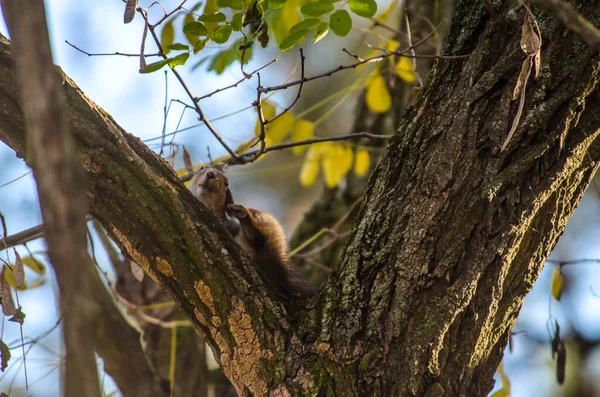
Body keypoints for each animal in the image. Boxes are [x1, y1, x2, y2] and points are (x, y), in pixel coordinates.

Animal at [188, 164, 314, 296]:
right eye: (202, 168)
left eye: (226, 183)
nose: (211, 174)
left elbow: (232, 226)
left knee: (261, 243)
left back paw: (244, 215)